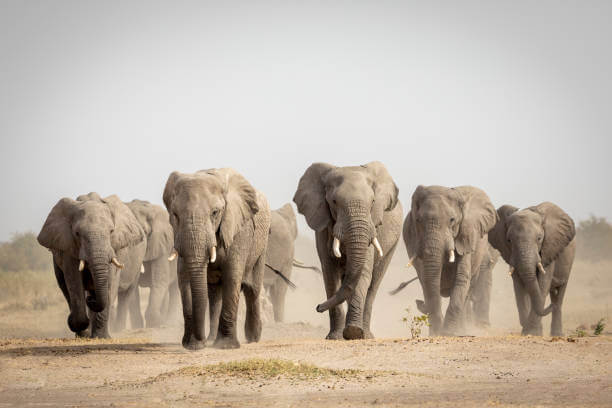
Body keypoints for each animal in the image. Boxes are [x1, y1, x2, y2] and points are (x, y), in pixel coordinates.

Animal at [37, 193, 146, 340]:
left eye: (111, 231)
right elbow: (73, 280)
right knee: (64, 287)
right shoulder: (68, 247)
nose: (91, 300)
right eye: (77, 233)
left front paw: (101, 337)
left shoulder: (115, 248)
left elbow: (110, 281)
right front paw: (81, 328)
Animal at [163, 167, 270, 350]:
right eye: (175, 215)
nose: (200, 341)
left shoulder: (239, 229)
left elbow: (232, 276)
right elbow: (184, 279)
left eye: (215, 212)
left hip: (261, 245)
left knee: (253, 289)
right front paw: (192, 345)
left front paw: (226, 346)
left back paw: (253, 338)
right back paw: (212, 339)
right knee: (214, 295)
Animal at [292, 161, 402, 340]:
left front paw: (354, 332)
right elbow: (330, 275)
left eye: (373, 201)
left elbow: (363, 273)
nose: (318, 307)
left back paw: (367, 334)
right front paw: (335, 337)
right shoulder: (323, 228)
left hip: (393, 245)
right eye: (334, 201)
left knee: (373, 285)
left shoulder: (371, 228)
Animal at [404, 186, 500, 336]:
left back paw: (461, 330)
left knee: (467, 292)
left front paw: (448, 333)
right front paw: (436, 333)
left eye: (452, 220)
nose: (418, 303)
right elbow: (427, 281)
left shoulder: (466, 237)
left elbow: (461, 278)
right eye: (418, 220)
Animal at [488, 202, 580, 336]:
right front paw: (528, 331)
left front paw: (532, 332)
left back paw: (556, 331)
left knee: (560, 292)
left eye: (539, 238)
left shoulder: (549, 249)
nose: (550, 306)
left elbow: (542, 283)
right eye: (509, 240)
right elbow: (519, 286)